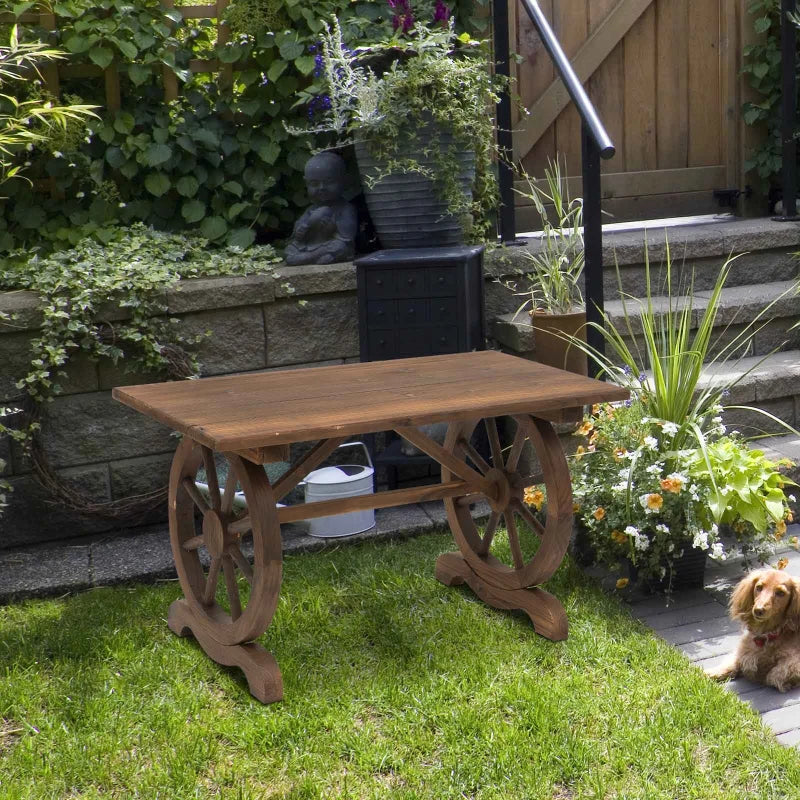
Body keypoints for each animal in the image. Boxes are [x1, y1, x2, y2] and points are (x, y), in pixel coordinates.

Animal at [708, 564, 800, 692]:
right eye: (759, 587)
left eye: (780, 593)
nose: (758, 610)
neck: (766, 635)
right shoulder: (743, 650)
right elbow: (734, 661)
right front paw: (711, 672)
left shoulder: (794, 659)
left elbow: (778, 673)